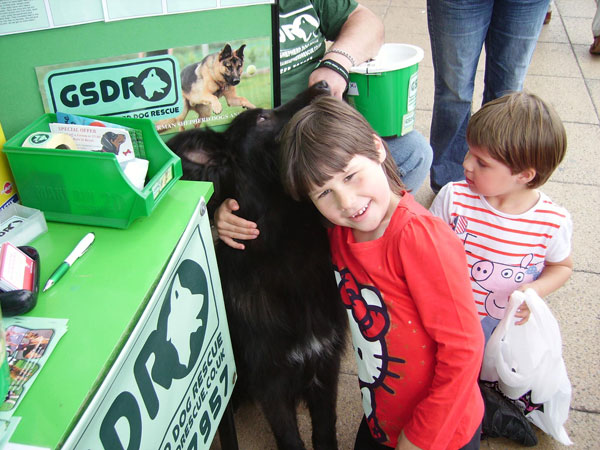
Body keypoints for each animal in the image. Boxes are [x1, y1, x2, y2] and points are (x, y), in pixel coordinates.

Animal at [168, 81, 346, 450]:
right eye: (263, 118)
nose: (323, 83)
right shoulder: (271, 383)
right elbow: (291, 440)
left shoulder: (325, 365)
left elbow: (325, 431)